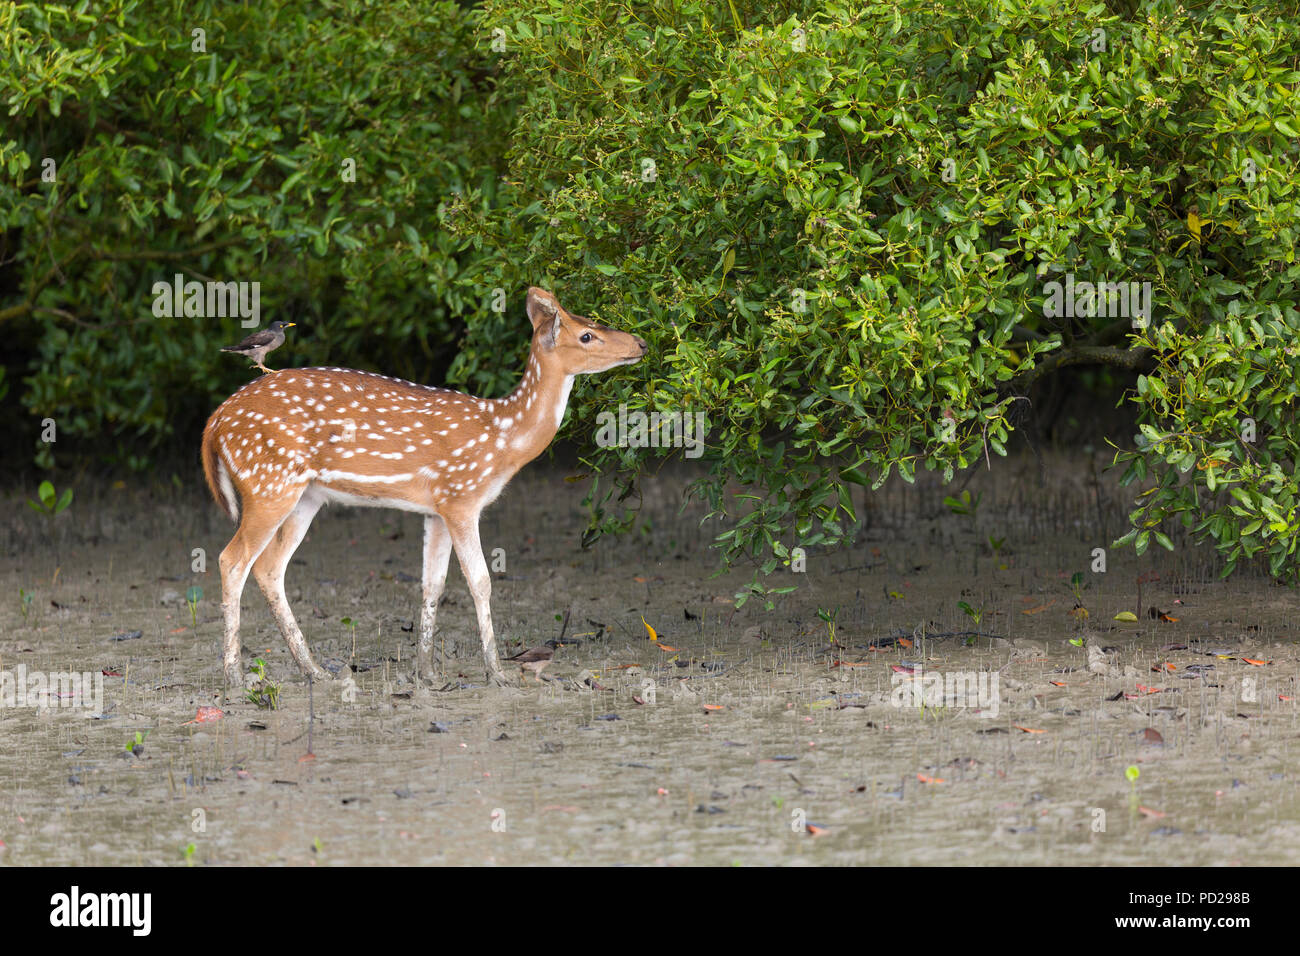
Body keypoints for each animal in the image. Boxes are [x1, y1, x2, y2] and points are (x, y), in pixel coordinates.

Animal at [200, 287, 647, 686]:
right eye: (586, 335)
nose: (640, 343)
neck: (503, 438)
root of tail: (215, 422)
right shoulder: (463, 496)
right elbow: (481, 581)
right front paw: (497, 672)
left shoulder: (436, 508)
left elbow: (432, 584)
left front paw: (427, 672)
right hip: (268, 482)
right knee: (231, 560)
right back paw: (234, 676)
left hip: (304, 497)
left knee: (269, 567)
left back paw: (312, 670)